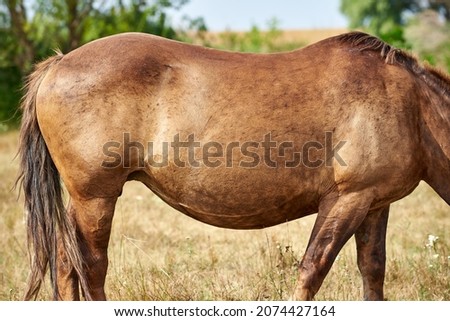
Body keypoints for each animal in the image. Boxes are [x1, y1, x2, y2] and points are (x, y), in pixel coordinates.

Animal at [15, 31, 448, 298]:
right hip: (95, 197)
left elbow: (372, 273)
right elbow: (313, 269)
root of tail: (56, 65)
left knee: (66, 265)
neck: (412, 108)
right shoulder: (347, 199)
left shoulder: (374, 204)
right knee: (89, 268)